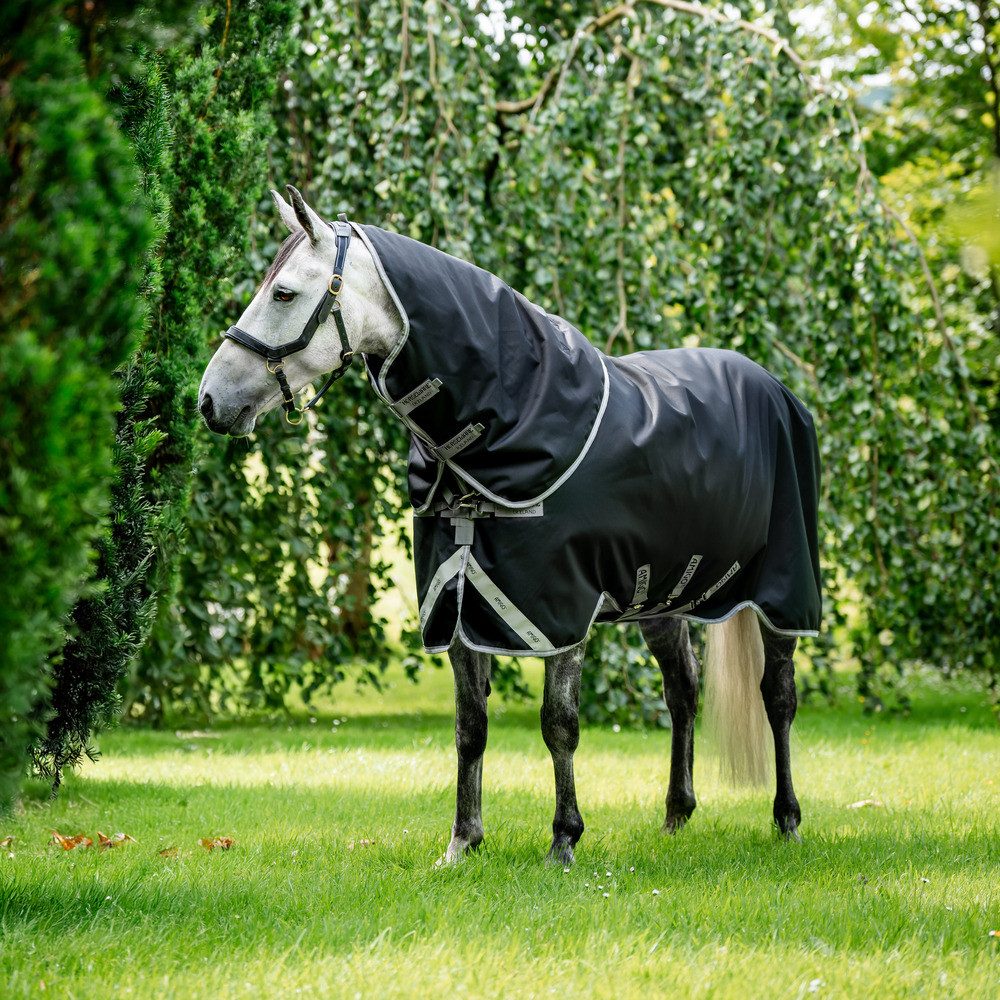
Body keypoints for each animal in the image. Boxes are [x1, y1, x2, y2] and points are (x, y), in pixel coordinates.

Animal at [199, 186, 821, 864]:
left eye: (283, 293)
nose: (209, 401)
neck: (505, 422)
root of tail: (775, 389)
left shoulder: (560, 611)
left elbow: (559, 724)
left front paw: (564, 839)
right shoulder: (457, 601)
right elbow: (470, 727)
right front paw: (462, 843)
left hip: (782, 593)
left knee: (778, 697)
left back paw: (788, 818)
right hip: (660, 599)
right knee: (682, 691)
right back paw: (676, 817)